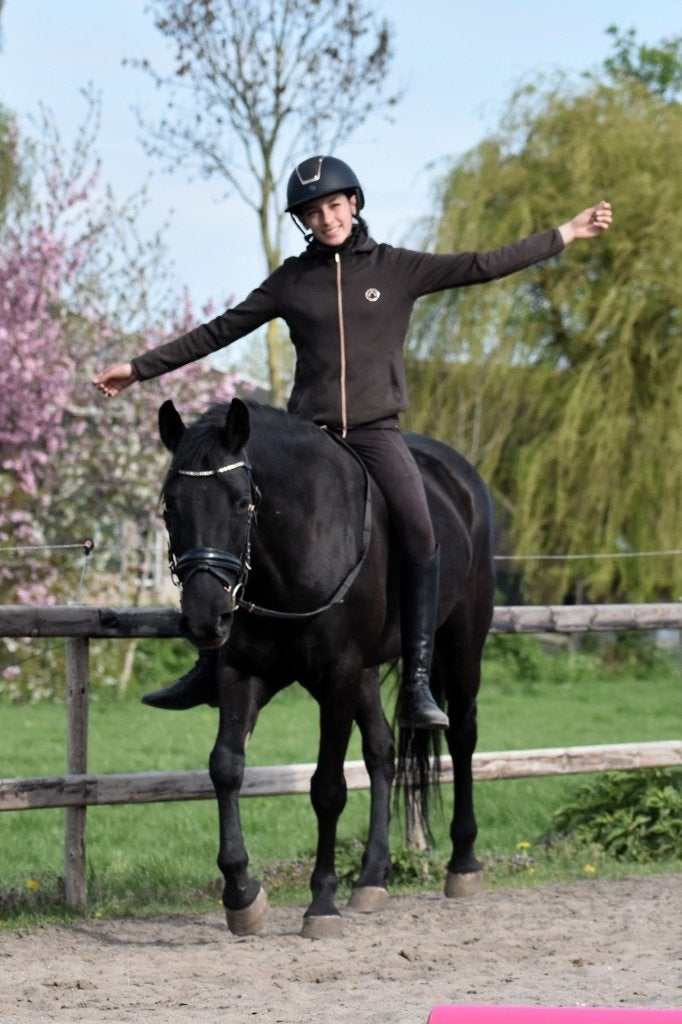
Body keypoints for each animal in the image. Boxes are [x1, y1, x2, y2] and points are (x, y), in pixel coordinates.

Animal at [158, 397, 495, 938]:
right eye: (171, 505)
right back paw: (372, 878)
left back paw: (463, 863)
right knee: (382, 753)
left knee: (462, 736)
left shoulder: (337, 677)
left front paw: (320, 903)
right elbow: (225, 767)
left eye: (241, 502)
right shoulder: (244, 673)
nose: (205, 617)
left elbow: (328, 788)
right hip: (365, 676)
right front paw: (242, 893)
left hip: (462, 645)